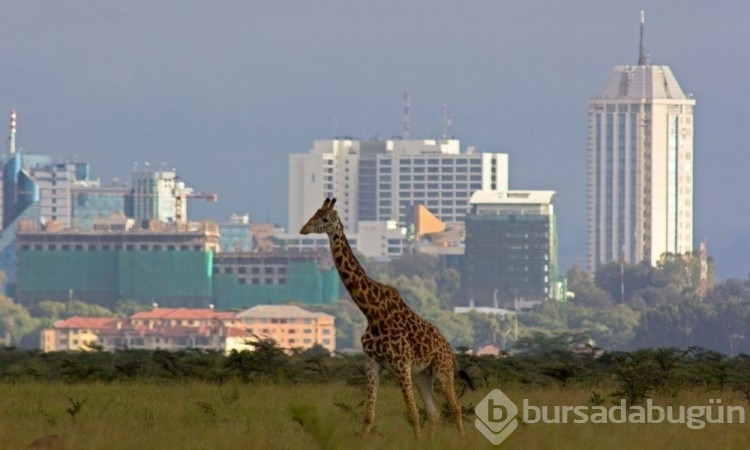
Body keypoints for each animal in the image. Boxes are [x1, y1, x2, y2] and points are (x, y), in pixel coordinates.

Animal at [300, 197, 476, 436]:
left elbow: (412, 415)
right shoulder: (372, 362)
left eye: (325, 219)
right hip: (423, 374)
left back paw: (462, 439)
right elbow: (368, 415)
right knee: (435, 411)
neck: (372, 312)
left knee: (455, 407)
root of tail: (450, 349)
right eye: (314, 214)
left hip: (442, 370)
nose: (303, 229)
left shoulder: (402, 365)